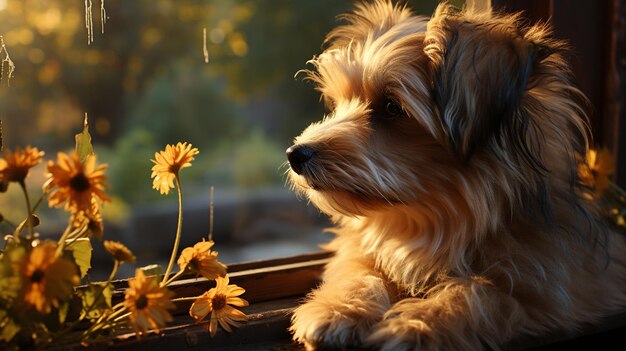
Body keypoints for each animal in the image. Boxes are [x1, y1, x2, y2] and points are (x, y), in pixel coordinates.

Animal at [286, 0, 624, 351]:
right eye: (339, 103)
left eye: (392, 107)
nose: (296, 154)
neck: (439, 222)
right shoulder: (362, 249)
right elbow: (359, 270)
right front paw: (340, 308)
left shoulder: (547, 293)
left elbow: (480, 292)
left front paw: (417, 323)